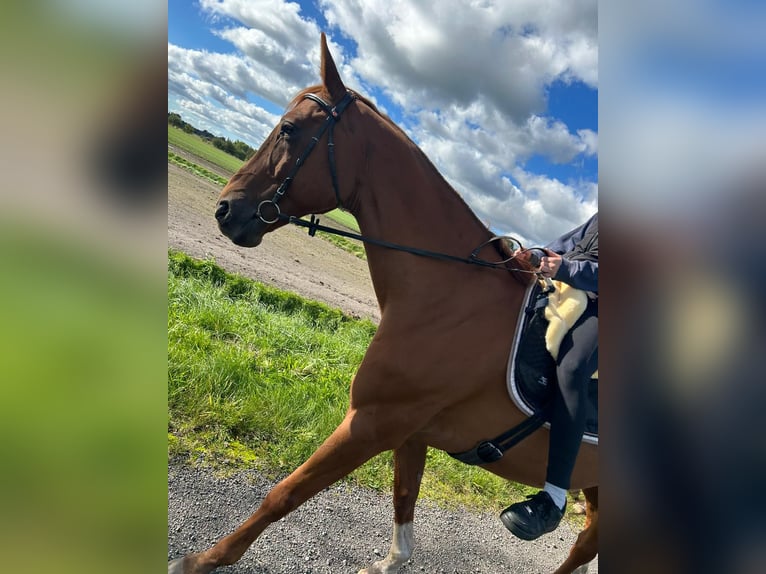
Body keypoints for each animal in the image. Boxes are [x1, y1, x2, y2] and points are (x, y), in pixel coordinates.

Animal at [168, 35, 600, 574]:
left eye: (288, 129)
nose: (226, 210)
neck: (449, 300)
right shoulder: (410, 432)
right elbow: (402, 502)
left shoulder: (373, 423)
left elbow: (284, 494)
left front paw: (202, 560)